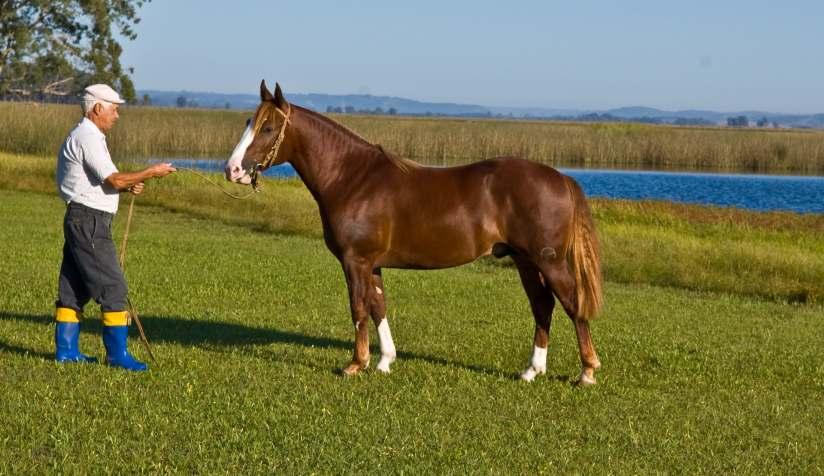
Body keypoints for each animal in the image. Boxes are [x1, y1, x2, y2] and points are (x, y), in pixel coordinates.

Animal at [225, 81, 604, 384]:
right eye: (248, 123)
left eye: (268, 128)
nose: (232, 170)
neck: (353, 179)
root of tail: (561, 178)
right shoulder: (372, 264)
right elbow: (378, 306)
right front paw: (384, 361)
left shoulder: (355, 261)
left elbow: (358, 307)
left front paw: (355, 364)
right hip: (526, 262)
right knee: (542, 306)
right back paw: (531, 371)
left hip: (548, 262)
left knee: (572, 304)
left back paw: (586, 371)